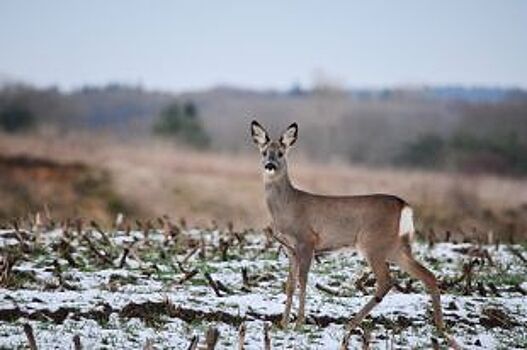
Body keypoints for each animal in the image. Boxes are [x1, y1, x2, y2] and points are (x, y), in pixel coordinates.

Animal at [250, 120, 460, 348]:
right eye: (264, 152)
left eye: (281, 153)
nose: (269, 165)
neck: (288, 206)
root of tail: (404, 205)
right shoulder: (290, 248)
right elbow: (289, 284)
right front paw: (283, 323)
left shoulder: (307, 241)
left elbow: (302, 281)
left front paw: (298, 323)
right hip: (395, 247)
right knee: (428, 275)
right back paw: (441, 329)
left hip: (373, 243)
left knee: (386, 281)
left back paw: (351, 324)